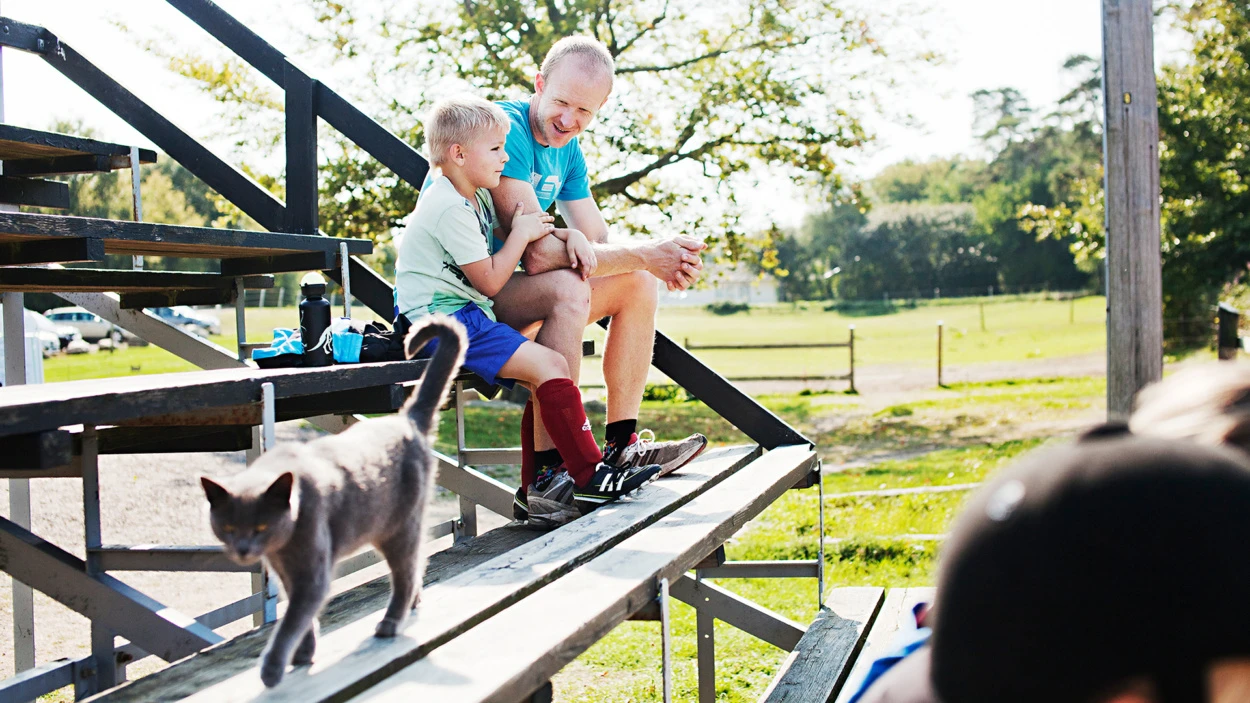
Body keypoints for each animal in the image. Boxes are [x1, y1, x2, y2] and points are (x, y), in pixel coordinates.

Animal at [200, 316, 465, 685]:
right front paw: (303, 655)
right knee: (417, 564)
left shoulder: (312, 571)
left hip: (399, 526)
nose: (243, 549)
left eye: (261, 526)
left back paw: (389, 624)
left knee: (406, 571)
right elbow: (300, 617)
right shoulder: (284, 571)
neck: (282, 548)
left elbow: (291, 621)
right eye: (227, 527)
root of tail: (406, 420)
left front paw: (272, 669)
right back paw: (412, 604)